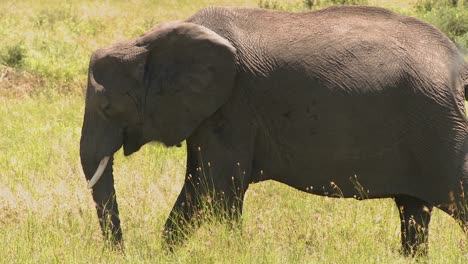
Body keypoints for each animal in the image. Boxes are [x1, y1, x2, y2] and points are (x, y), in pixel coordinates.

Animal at [81, 4, 468, 256]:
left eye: (107, 108)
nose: (122, 252)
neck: (147, 42)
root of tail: (458, 63)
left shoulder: (233, 105)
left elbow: (218, 190)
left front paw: (230, 251)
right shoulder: (210, 112)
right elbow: (197, 186)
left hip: (442, 127)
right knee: (413, 211)